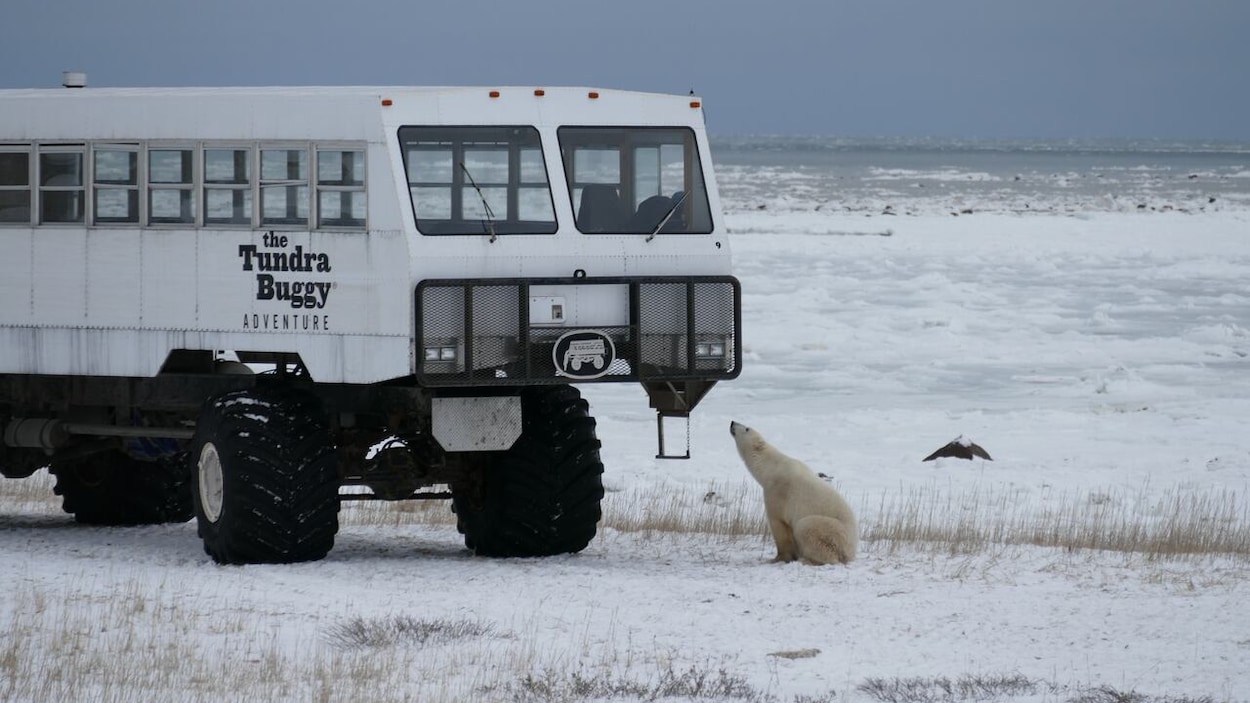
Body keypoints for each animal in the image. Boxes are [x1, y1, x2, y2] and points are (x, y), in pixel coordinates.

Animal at [730, 421, 857, 565]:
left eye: (747, 428)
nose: (732, 422)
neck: (771, 468)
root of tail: (850, 553)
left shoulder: (777, 491)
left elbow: (779, 524)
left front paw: (778, 558)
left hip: (833, 532)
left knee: (807, 528)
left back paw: (807, 559)